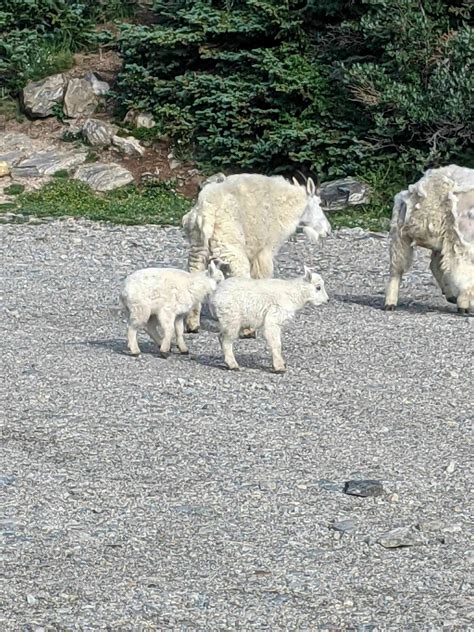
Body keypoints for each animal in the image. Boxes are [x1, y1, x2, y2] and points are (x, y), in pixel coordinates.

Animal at [183, 173, 332, 330]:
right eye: (319, 203)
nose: (328, 231)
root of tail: (206, 213)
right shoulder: (264, 251)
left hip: (198, 248)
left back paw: (192, 324)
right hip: (230, 249)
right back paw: (247, 330)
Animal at [386, 163, 474, 312]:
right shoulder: (462, 245)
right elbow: (464, 276)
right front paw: (465, 305)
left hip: (441, 240)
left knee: (436, 265)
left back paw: (450, 295)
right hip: (400, 235)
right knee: (397, 269)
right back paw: (390, 303)